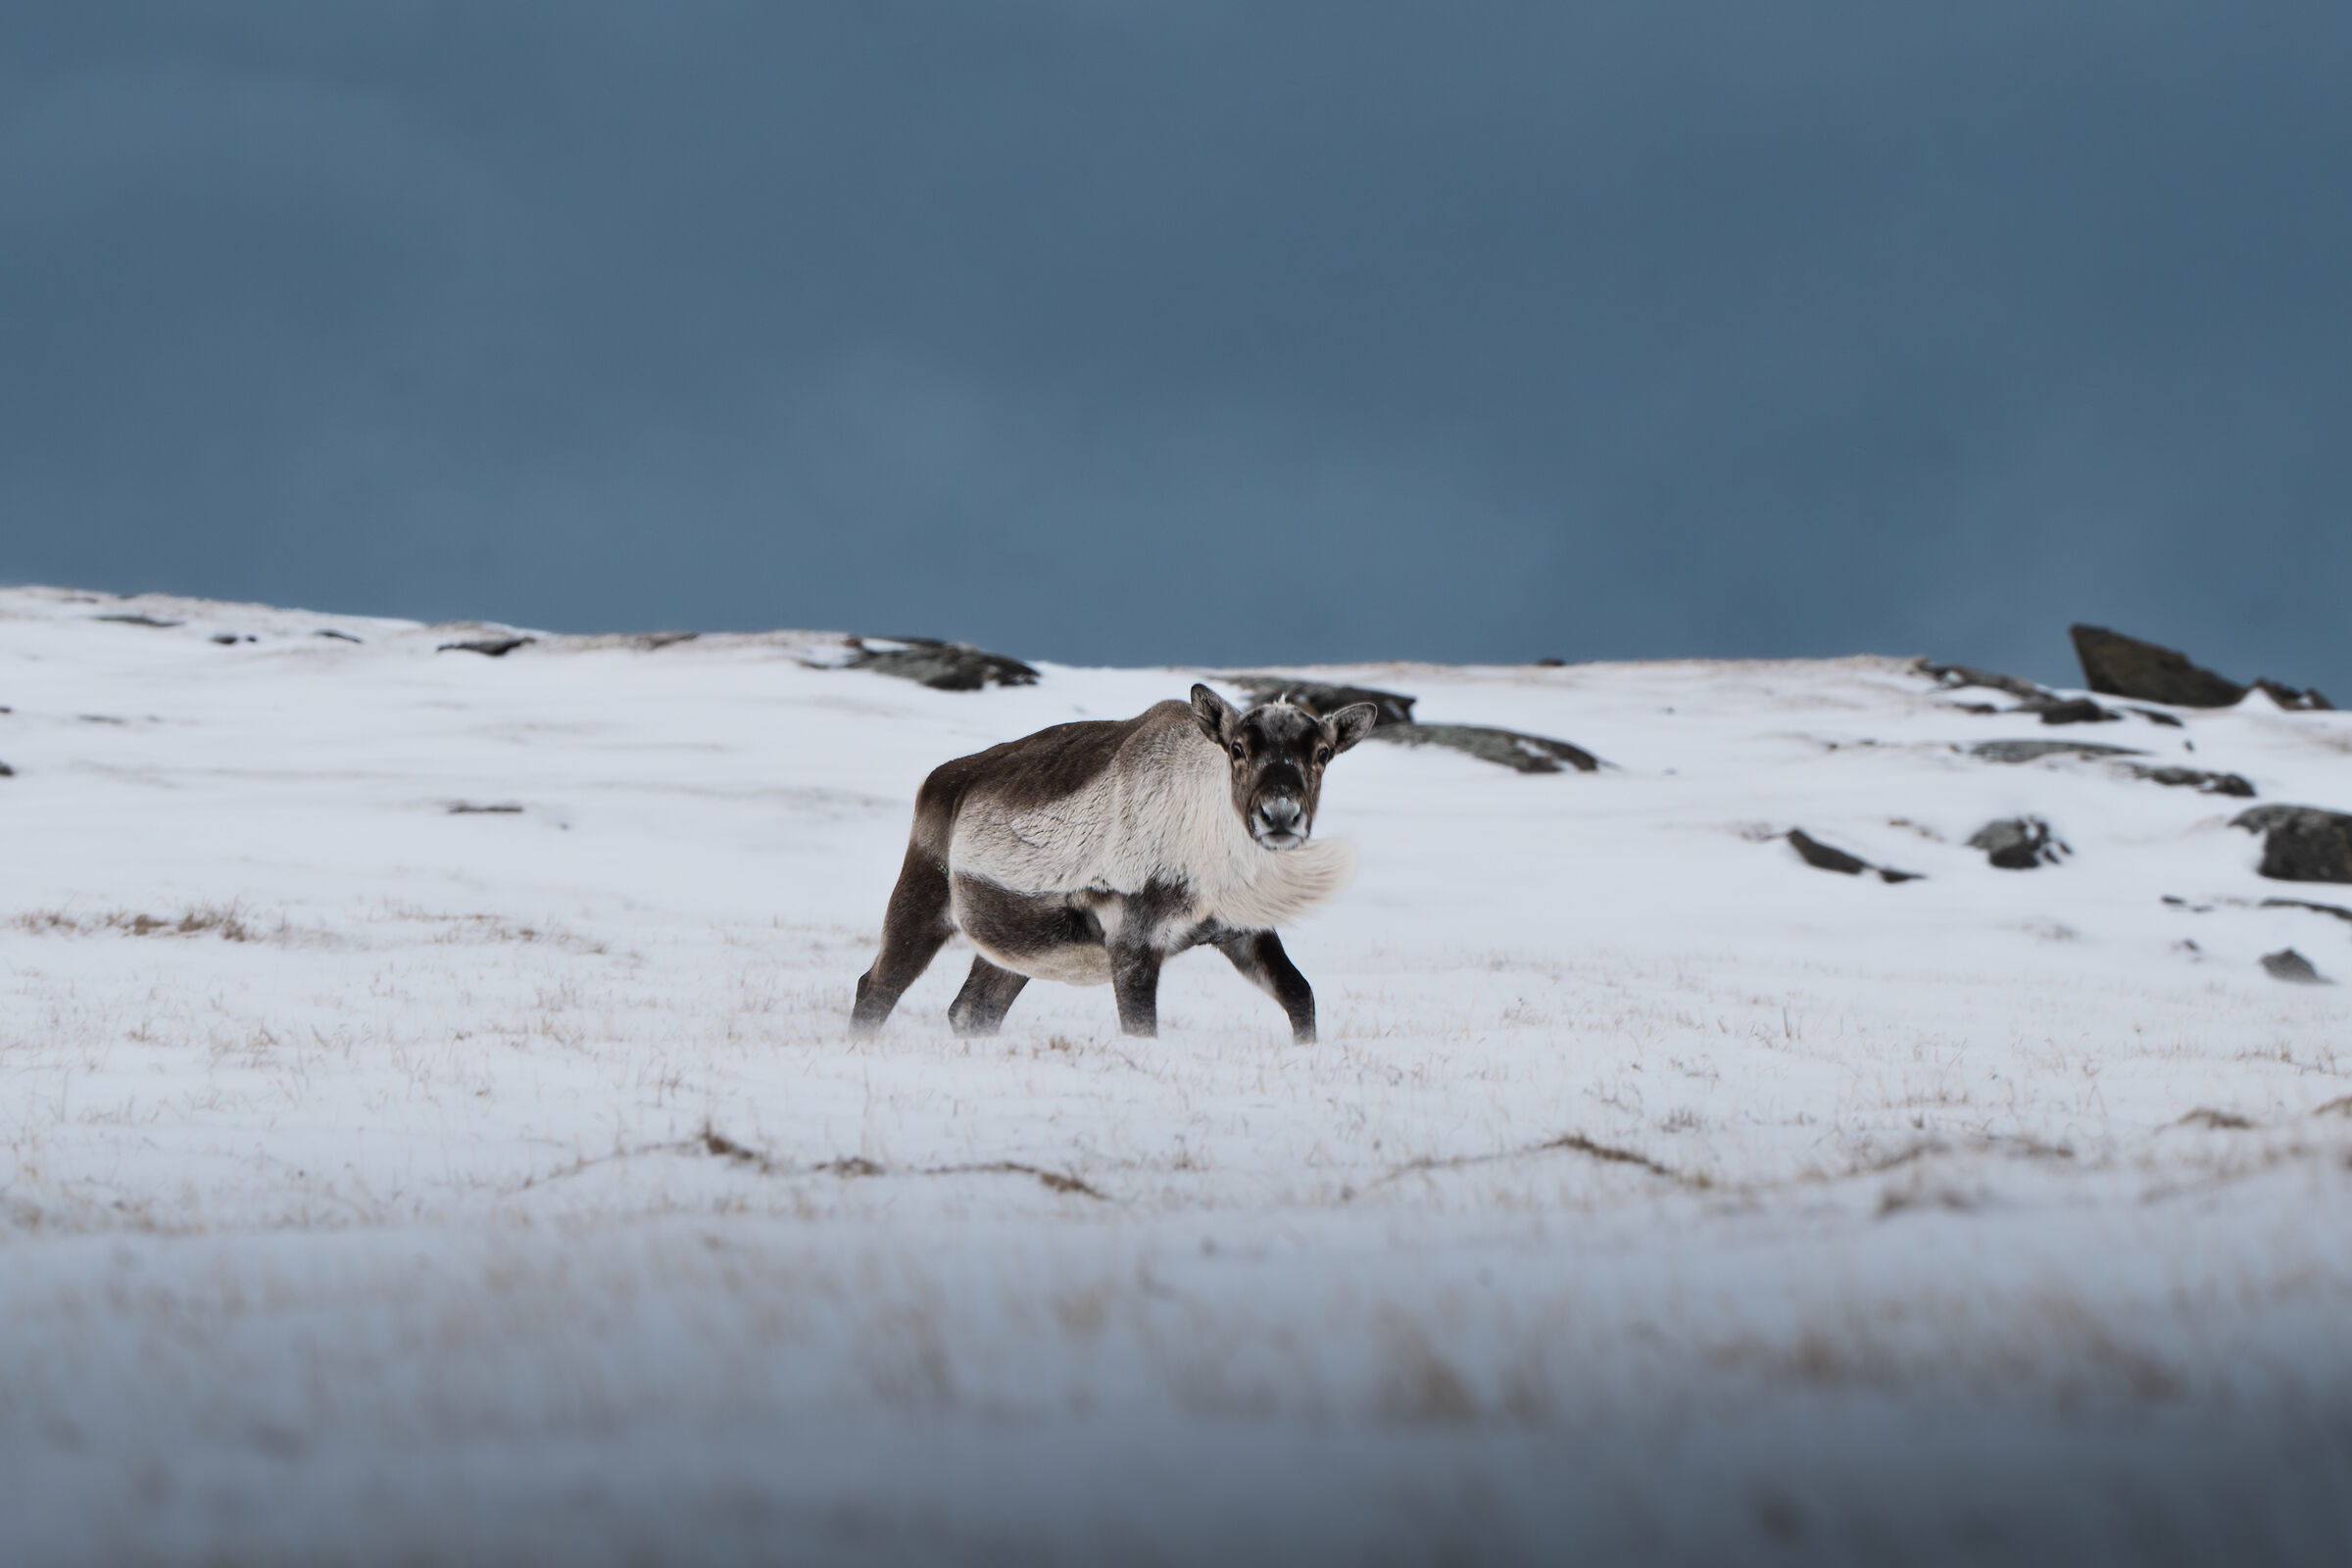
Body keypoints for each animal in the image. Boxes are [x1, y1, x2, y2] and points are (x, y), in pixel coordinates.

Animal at [850, 684, 1378, 1043]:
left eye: (1323, 753)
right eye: (1237, 748)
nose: (1280, 815)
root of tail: (936, 780)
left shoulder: (1242, 930)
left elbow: (1300, 994)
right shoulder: (1132, 938)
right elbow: (1141, 1027)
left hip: (1016, 949)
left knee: (971, 1010)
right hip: (922, 897)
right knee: (875, 987)